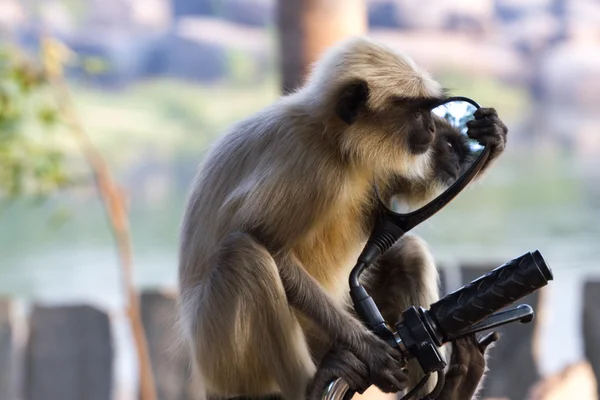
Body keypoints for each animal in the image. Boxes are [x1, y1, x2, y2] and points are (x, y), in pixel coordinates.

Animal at [176, 36, 508, 400]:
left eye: (429, 111)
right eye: (418, 112)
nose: (434, 127)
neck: (331, 139)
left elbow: (409, 188)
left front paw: (492, 138)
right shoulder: (311, 168)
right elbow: (267, 243)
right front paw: (367, 347)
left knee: (409, 253)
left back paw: (450, 386)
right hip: (223, 355)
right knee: (245, 253)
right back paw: (310, 385)